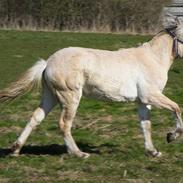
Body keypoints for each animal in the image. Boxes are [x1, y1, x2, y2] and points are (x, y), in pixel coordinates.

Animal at [0, 14, 183, 158]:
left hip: (50, 96)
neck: (153, 59)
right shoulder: (151, 95)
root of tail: (48, 63)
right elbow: (176, 108)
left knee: (36, 118)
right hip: (70, 96)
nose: (168, 138)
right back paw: (78, 153)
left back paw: (15, 150)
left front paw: (153, 152)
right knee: (64, 124)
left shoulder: (143, 101)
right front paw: (171, 136)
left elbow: (146, 125)